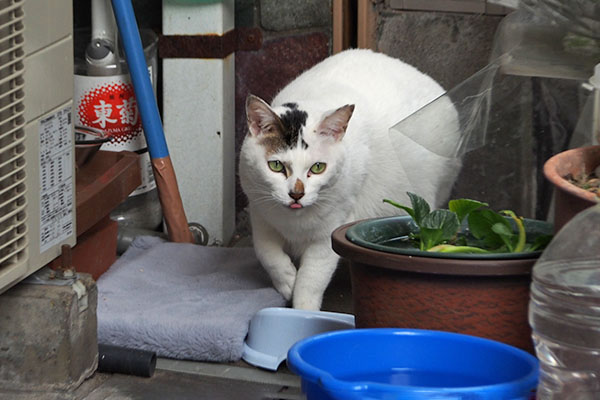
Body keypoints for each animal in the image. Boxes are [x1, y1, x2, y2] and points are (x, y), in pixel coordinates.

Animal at [239, 47, 460, 310]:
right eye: (276, 166)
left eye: (318, 167)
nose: (296, 194)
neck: (293, 223)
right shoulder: (259, 213)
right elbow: (266, 251)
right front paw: (286, 281)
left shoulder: (329, 233)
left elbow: (311, 281)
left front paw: (303, 311)